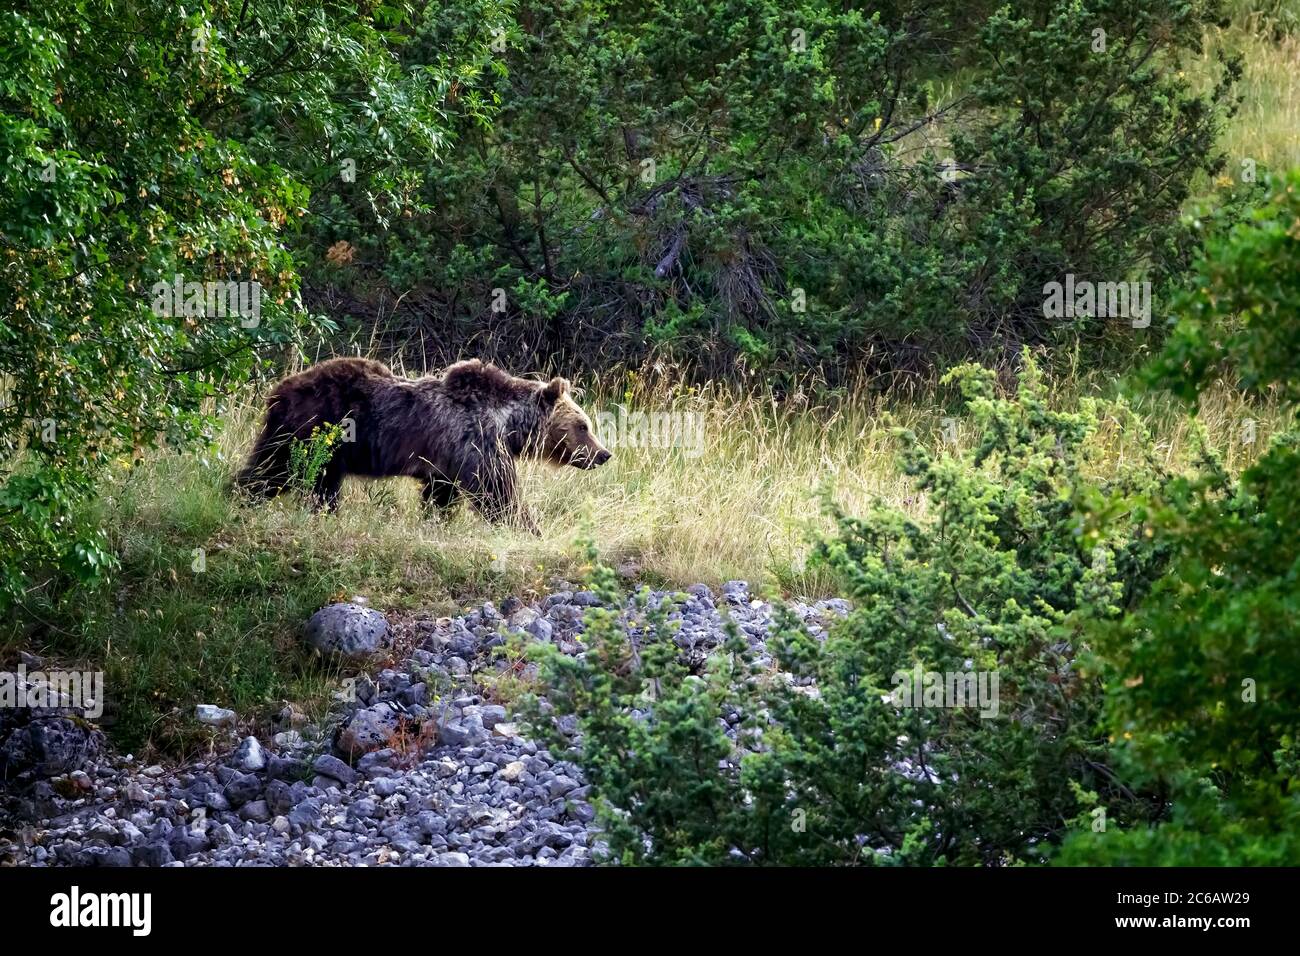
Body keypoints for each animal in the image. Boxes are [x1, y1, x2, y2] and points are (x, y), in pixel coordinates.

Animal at [235, 357, 611, 533]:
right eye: (583, 425)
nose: (604, 454)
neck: (509, 425)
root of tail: (277, 391)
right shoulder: (476, 443)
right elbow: (498, 492)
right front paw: (528, 528)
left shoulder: (447, 464)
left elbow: (441, 495)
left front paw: (436, 521)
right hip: (314, 432)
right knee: (277, 470)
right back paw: (242, 497)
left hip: (319, 447)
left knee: (298, 478)